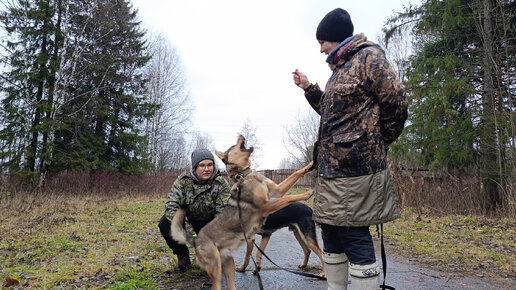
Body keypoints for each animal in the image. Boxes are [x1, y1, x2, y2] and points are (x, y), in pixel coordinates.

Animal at [171, 136, 312, 290]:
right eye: (234, 145)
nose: (241, 135)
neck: (245, 175)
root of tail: (195, 240)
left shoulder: (277, 191)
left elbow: (296, 173)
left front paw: (311, 164)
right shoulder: (266, 205)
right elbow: (289, 197)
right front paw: (307, 193)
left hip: (229, 265)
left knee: (230, 286)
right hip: (216, 270)